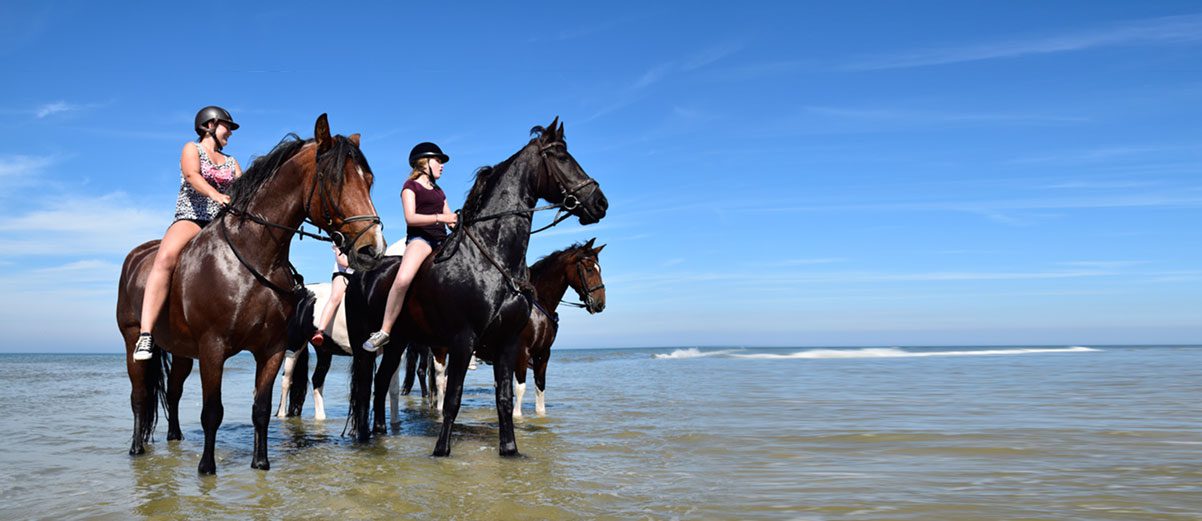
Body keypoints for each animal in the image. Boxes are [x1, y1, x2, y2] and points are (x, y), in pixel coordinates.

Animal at [115, 113, 382, 471]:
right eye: (334, 179)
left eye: (369, 180)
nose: (371, 249)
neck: (253, 259)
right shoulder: (213, 349)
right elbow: (212, 412)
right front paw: (207, 468)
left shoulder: (271, 350)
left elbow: (261, 410)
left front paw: (261, 463)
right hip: (133, 339)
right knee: (140, 395)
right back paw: (136, 447)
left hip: (182, 350)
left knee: (172, 393)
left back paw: (174, 438)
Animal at [348, 117, 610, 454]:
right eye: (561, 156)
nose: (600, 203)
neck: (492, 260)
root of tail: (360, 274)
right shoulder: (464, 340)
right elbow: (453, 397)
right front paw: (441, 450)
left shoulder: (509, 343)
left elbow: (505, 397)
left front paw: (510, 449)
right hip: (369, 343)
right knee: (367, 386)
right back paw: (366, 439)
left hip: (399, 342)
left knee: (380, 383)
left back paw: (380, 434)